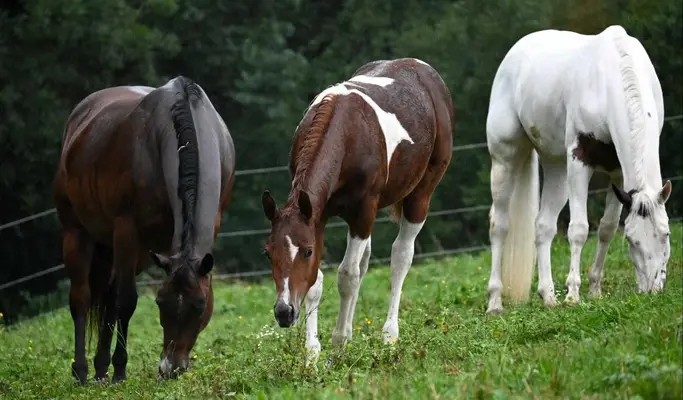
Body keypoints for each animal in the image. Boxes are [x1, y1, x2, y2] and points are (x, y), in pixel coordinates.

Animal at [53, 76, 235, 383]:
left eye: (200, 305)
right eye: (161, 304)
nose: (171, 368)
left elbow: (116, 300)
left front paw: (112, 367)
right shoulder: (127, 231)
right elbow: (127, 301)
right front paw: (120, 370)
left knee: (109, 296)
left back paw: (100, 368)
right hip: (77, 234)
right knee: (82, 297)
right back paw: (83, 370)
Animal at [260, 57, 454, 363]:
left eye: (306, 251)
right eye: (268, 253)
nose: (284, 312)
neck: (347, 132)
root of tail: (424, 69)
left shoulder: (363, 213)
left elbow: (347, 276)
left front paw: (338, 344)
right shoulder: (317, 215)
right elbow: (317, 281)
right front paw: (312, 355)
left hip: (420, 195)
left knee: (401, 256)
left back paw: (389, 335)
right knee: (366, 262)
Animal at [484, 25, 672, 314]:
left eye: (666, 234)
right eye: (632, 240)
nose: (653, 290)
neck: (610, 78)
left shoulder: (618, 174)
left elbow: (607, 228)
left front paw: (594, 290)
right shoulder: (579, 161)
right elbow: (579, 229)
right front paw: (573, 294)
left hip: (557, 168)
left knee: (543, 226)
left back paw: (548, 296)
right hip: (506, 158)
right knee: (500, 224)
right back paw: (495, 302)